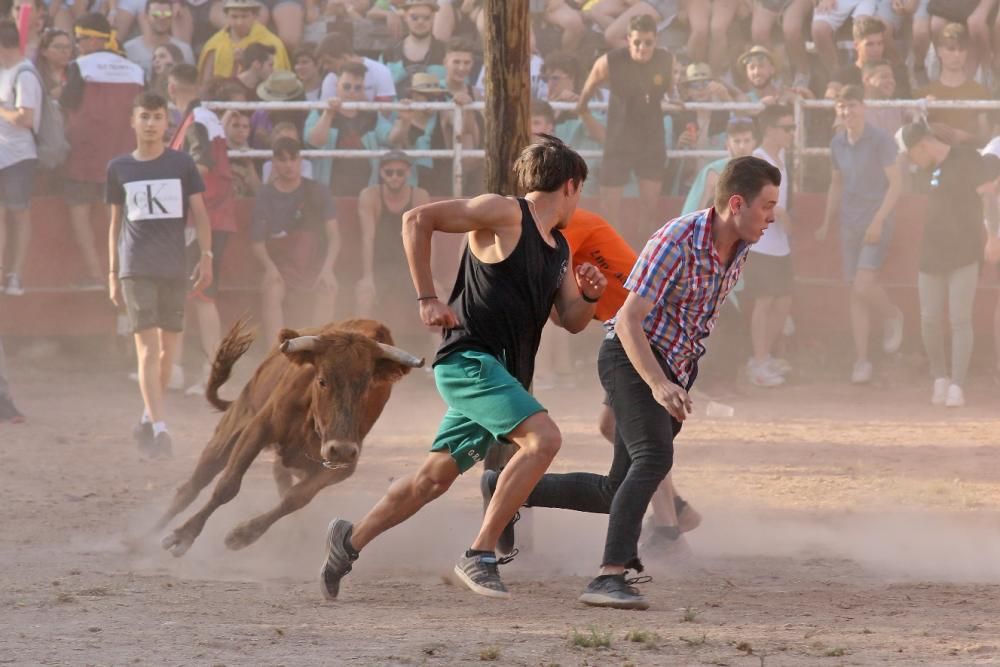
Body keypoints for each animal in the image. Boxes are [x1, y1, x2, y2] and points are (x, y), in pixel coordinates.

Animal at [156, 318, 422, 560]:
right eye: (322, 380)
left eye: (367, 386)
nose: (341, 450)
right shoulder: (259, 428)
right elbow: (227, 486)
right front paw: (183, 535)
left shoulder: (344, 465)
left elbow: (295, 498)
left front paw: (243, 535)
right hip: (230, 430)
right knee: (192, 486)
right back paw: (147, 535)